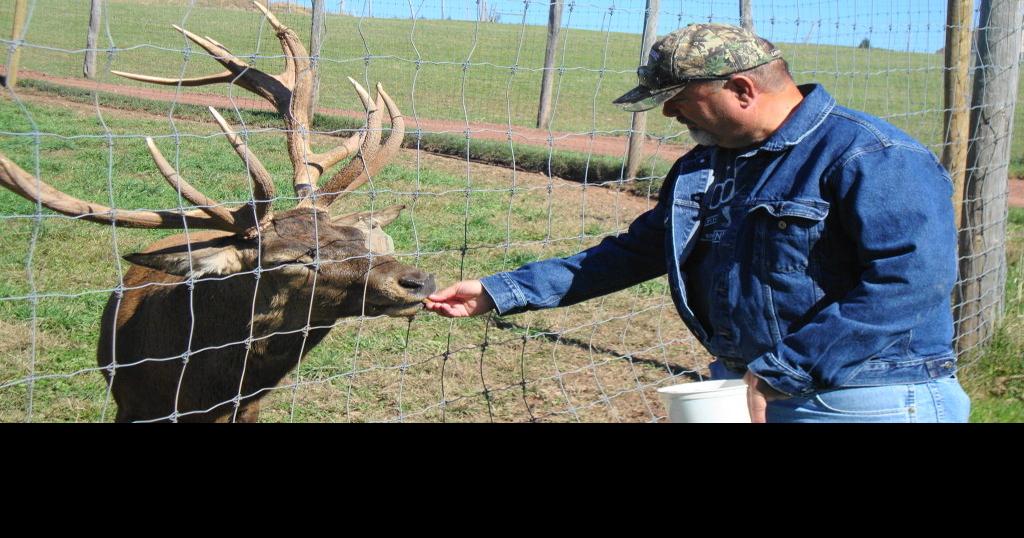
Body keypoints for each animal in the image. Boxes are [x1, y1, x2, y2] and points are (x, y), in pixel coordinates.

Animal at [0, 1, 436, 422]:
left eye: (359, 237)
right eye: (290, 260)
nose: (418, 280)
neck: (194, 394)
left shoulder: (249, 406)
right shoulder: (127, 403)